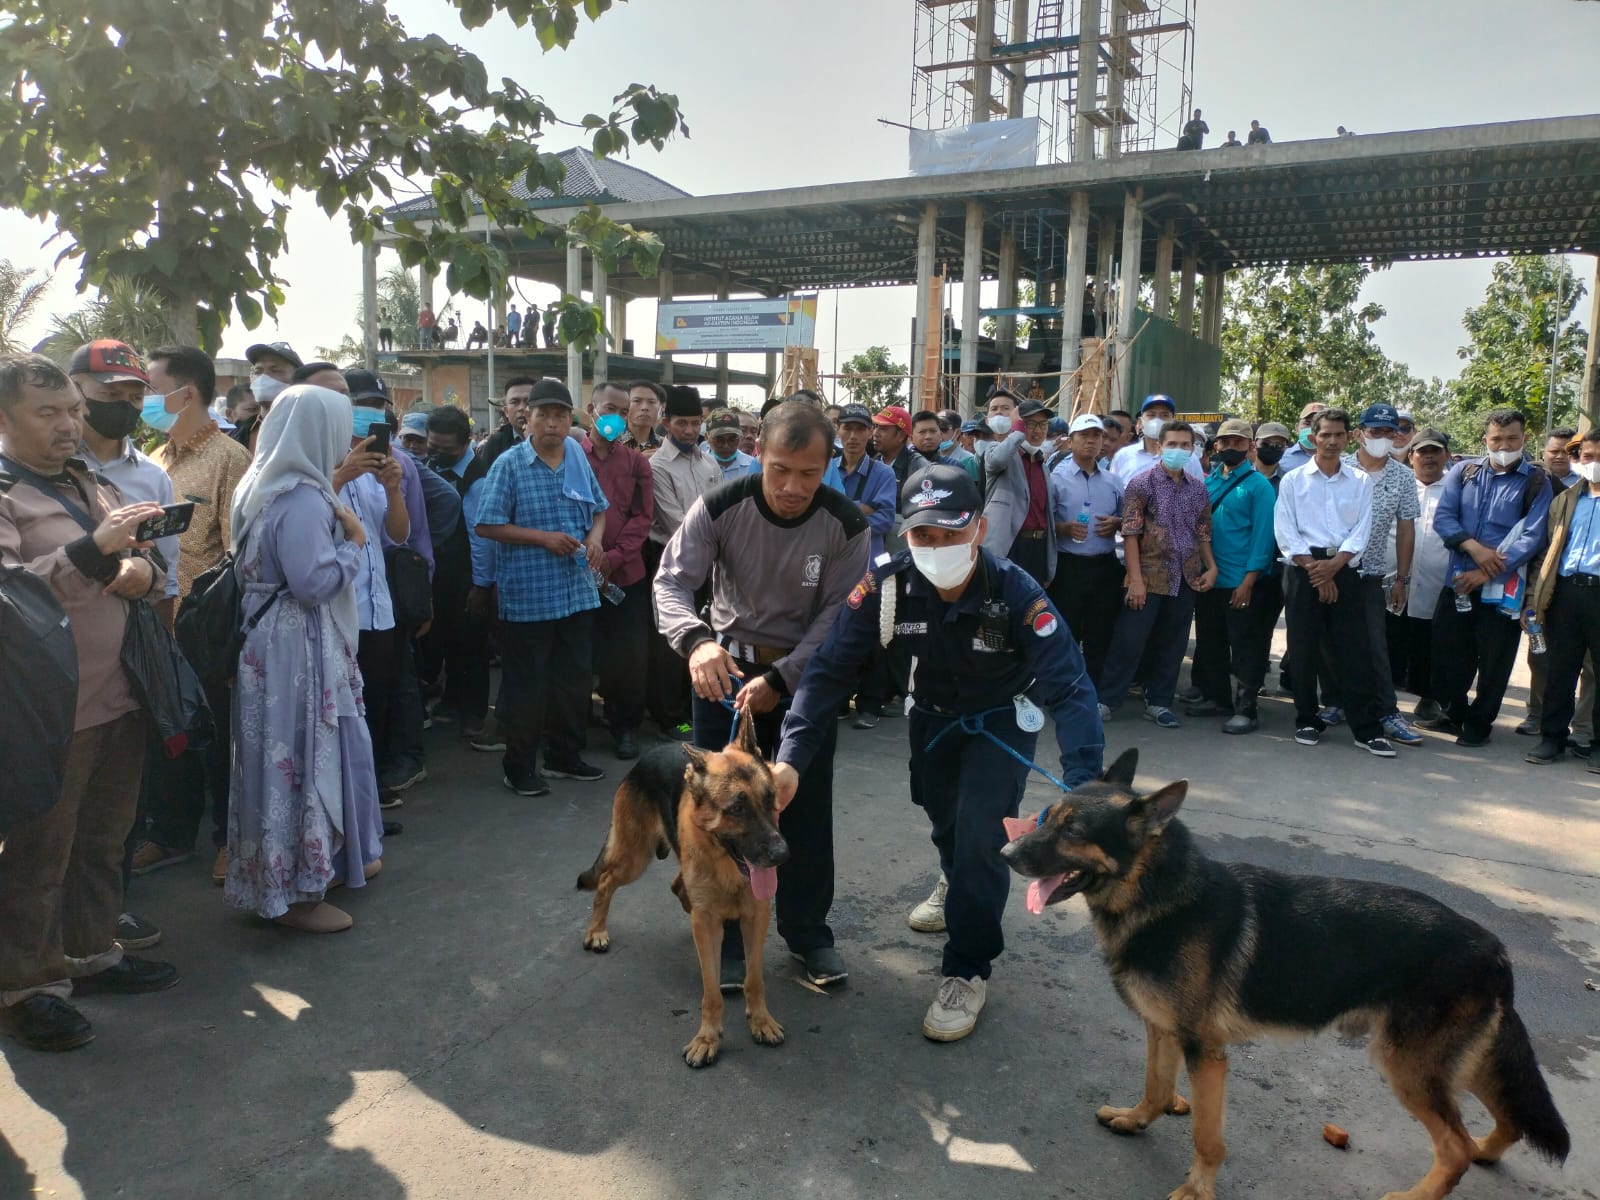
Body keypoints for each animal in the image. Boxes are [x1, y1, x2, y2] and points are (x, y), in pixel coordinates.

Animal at [582, 720, 793, 1075]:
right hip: (633, 858)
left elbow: (754, 979)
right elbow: (711, 992)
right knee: (607, 881)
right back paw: (597, 931)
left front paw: (761, 1021)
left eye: (770, 800)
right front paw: (707, 1038)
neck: (726, 866)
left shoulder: (757, 916)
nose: (782, 855)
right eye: (737, 809)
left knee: (677, 886)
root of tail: (646, 757)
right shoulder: (707, 926)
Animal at [998, 752, 1561, 1200]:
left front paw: (1197, 1190)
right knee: (1506, 1119)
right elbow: (1156, 1087)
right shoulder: (1163, 1030)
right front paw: (1136, 1121)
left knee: (1455, 1149)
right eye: (1047, 817)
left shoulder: (1205, 1053)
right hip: (1453, 1063)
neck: (1161, 894)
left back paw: (1415, 1195)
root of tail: (1494, 948)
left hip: (1408, 1067)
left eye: (1074, 831)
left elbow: (1206, 1136)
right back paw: (1488, 1149)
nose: (1004, 853)